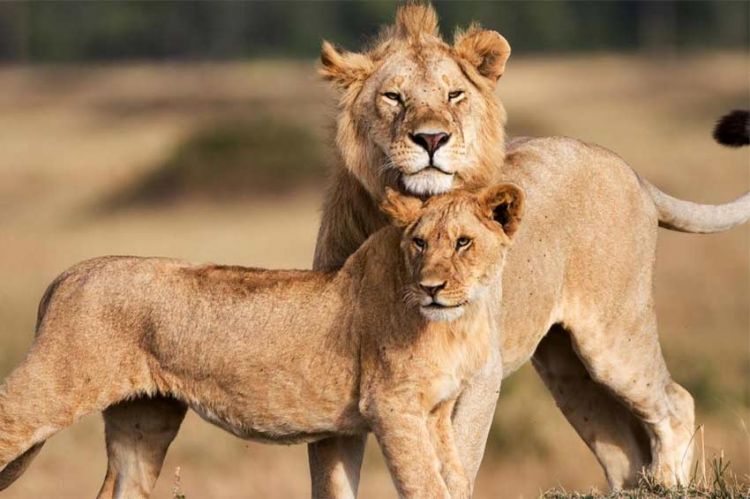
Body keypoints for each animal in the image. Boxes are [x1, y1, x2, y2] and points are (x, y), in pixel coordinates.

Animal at [0, 185, 524, 499]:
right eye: (419, 242)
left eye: (462, 242)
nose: (431, 287)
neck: (456, 322)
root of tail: (71, 272)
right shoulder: (391, 407)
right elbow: (425, 485)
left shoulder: (435, 413)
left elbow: (454, 477)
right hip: (53, 387)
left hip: (144, 423)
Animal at [306, 2, 750, 496]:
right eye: (393, 97)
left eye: (455, 95)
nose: (432, 139)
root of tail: (631, 171)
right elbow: (331, 478)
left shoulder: (481, 374)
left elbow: (459, 459)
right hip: (567, 370)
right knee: (623, 450)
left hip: (614, 337)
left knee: (676, 402)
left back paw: (671, 481)